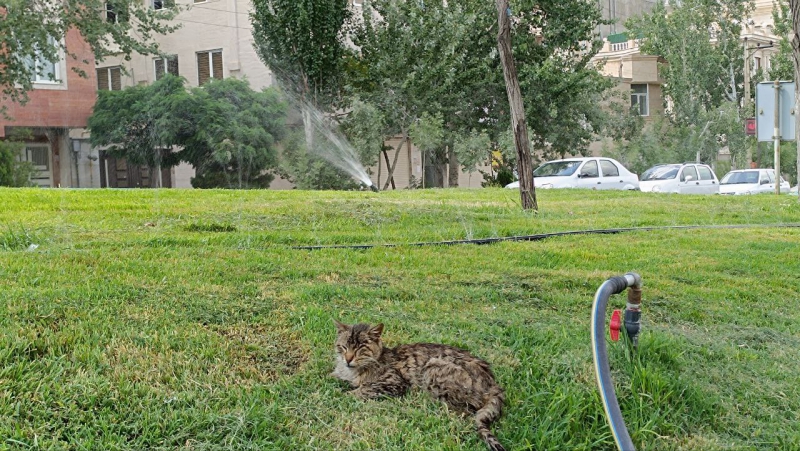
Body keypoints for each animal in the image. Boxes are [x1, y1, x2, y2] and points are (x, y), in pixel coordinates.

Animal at [332, 322, 506, 451]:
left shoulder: (394, 382)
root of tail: (493, 384)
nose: (348, 359)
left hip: (434, 367)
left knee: (466, 408)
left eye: (360, 348)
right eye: (344, 347)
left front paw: (343, 396)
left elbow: (363, 389)